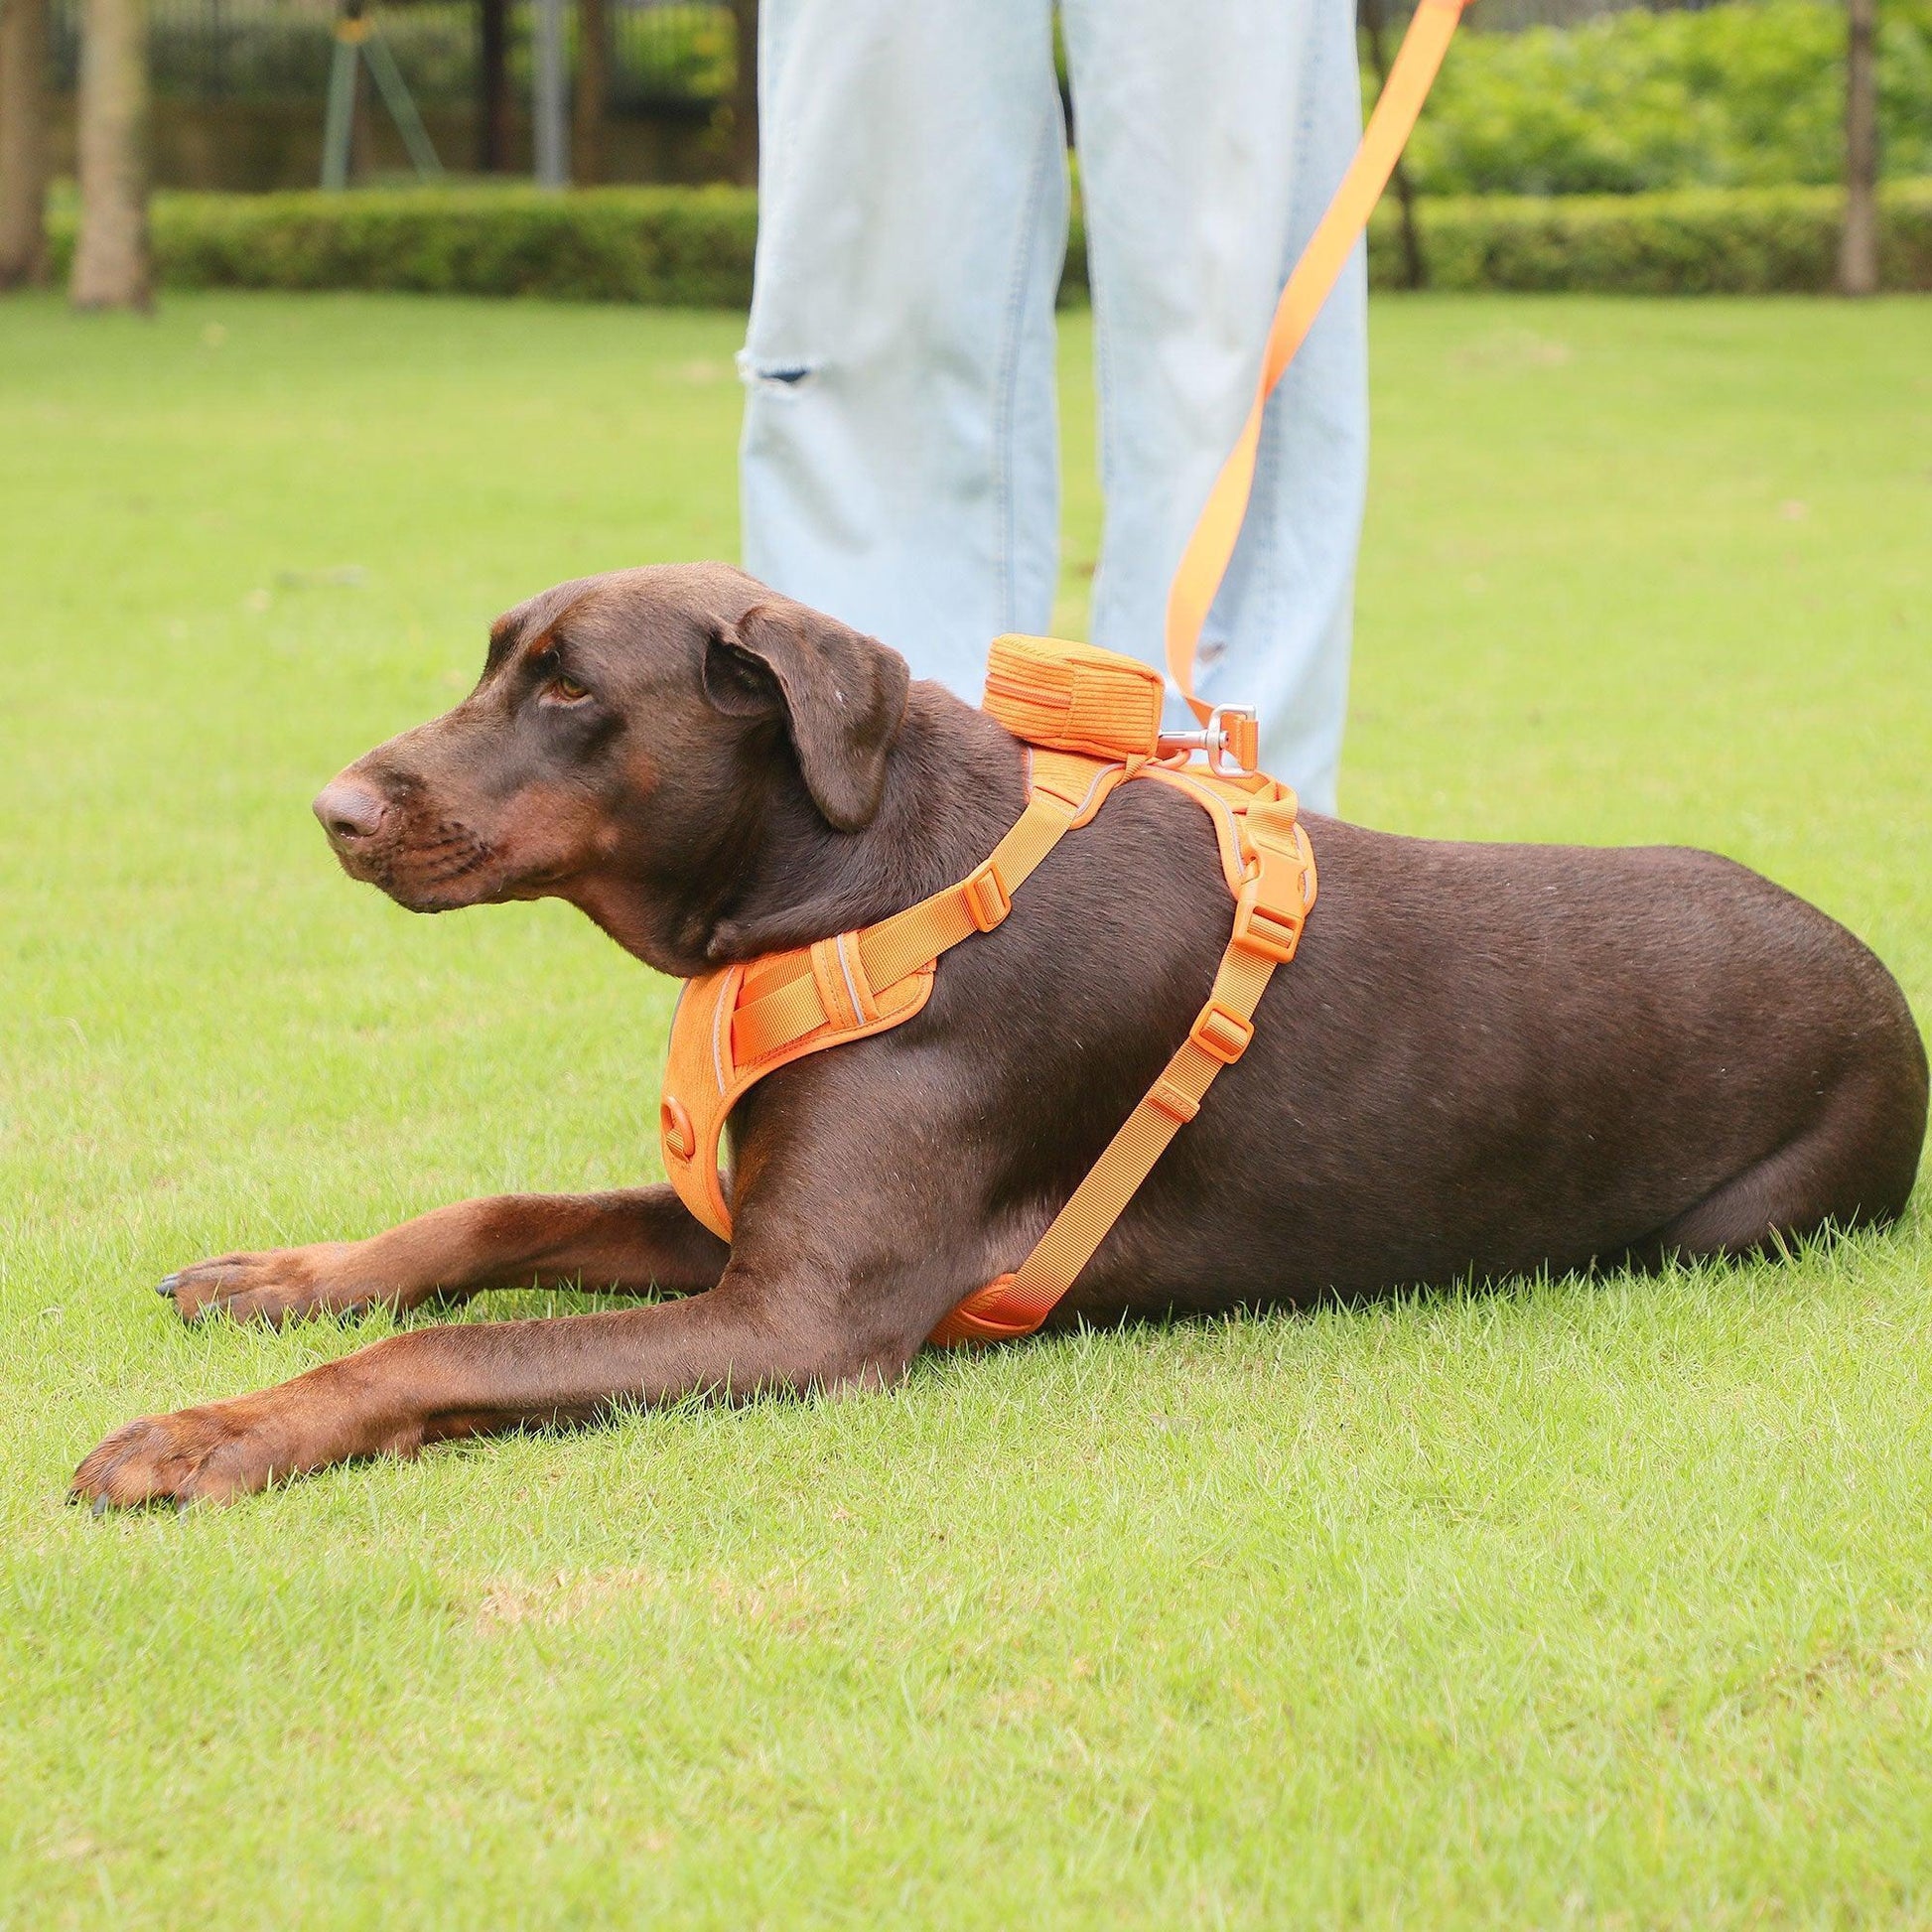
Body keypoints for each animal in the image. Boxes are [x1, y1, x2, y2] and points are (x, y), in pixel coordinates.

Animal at [68, 564, 1924, 1506]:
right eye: (497, 665)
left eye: (575, 688)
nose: (332, 809)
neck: (849, 876)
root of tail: (1878, 975)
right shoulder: (740, 1220)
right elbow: (487, 1220)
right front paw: (286, 1277)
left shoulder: (797, 1320)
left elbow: (450, 1353)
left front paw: (213, 1437)